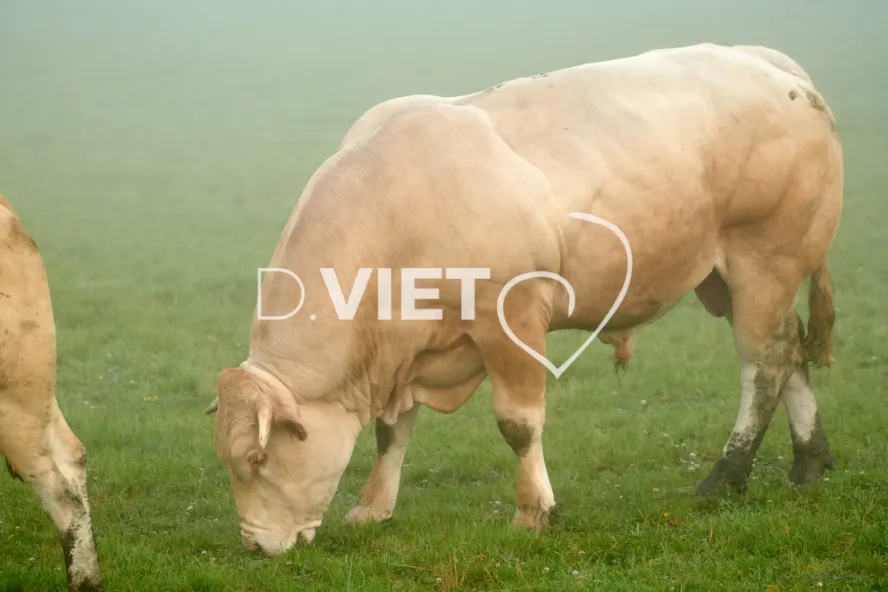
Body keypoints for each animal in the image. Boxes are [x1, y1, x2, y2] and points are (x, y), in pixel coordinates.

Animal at [205, 42, 842, 556]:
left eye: (257, 460)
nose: (256, 547)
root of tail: (765, 61)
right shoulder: (405, 353)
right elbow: (392, 431)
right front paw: (373, 509)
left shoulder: (510, 319)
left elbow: (518, 425)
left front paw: (534, 511)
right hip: (737, 278)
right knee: (790, 353)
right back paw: (808, 462)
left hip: (764, 262)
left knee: (764, 366)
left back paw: (727, 475)